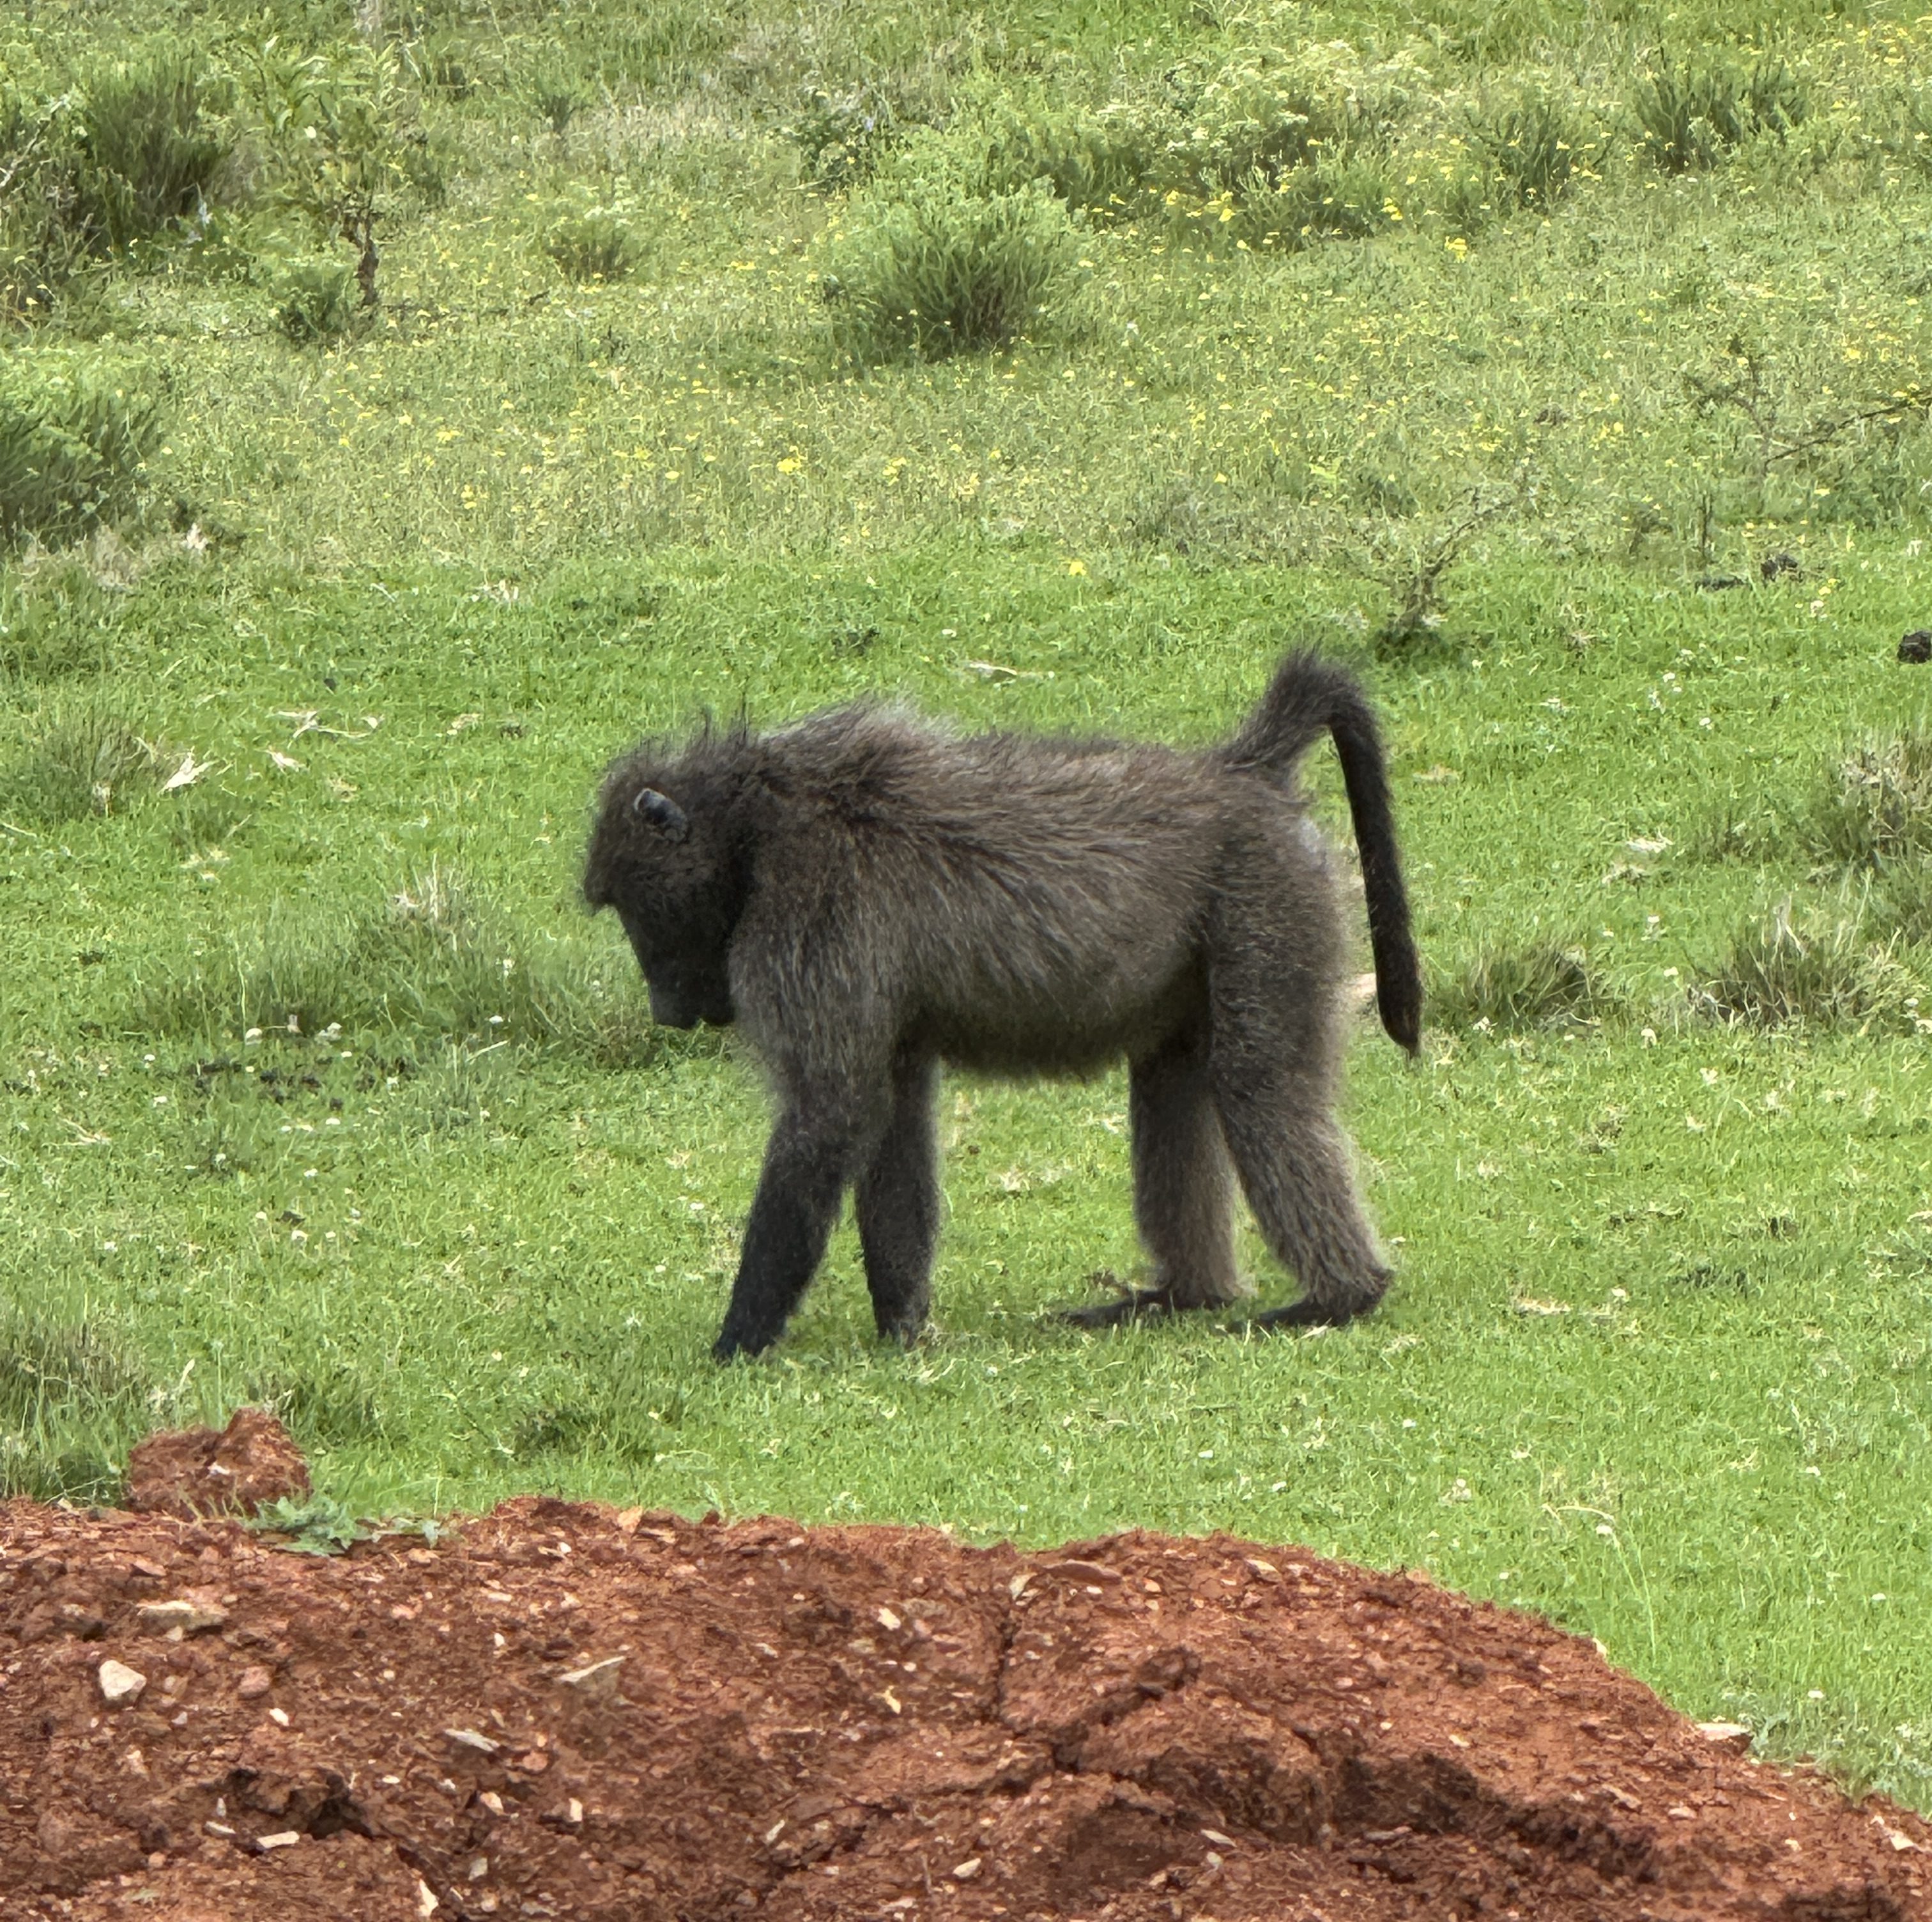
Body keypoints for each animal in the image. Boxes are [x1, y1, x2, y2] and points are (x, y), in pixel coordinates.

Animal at [582, 649, 1421, 1361]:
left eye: (631, 908)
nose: (664, 1010)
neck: (757, 822)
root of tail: (1243, 771)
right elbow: (890, 1120)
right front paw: (903, 1326)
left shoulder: (807, 920)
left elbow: (829, 1111)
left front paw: (737, 1342)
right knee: (1169, 1082)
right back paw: (1187, 1295)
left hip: (1266, 903)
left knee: (1260, 1088)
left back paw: (1339, 1297)